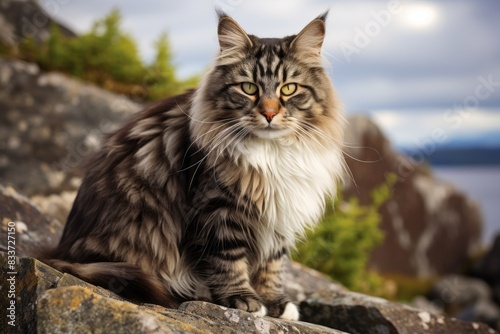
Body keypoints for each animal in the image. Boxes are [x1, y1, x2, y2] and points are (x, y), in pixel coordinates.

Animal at [43, 9, 344, 320]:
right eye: (249, 88)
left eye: (289, 89)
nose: (270, 113)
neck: (270, 153)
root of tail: (60, 251)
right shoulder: (218, 209)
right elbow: (228, 258)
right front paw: (242, 299)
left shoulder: (279, 212)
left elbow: (272, 264)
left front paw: (275, 303)